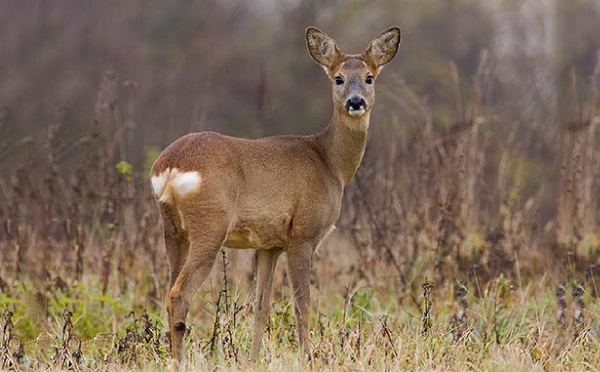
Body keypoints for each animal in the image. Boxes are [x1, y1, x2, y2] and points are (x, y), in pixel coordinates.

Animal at [152, 26, 400, 364]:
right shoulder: (303, 234)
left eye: (369, 77)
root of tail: (169, 167)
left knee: (168, 290)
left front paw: (253, 359)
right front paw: (308, 358)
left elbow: (261, 306)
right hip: (210, 225)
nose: (356, 101)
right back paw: (181, 360)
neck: (329, 162)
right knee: (179, 293)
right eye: (338, 78)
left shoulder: (269, 245)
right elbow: (302, 305)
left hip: (173, 231)